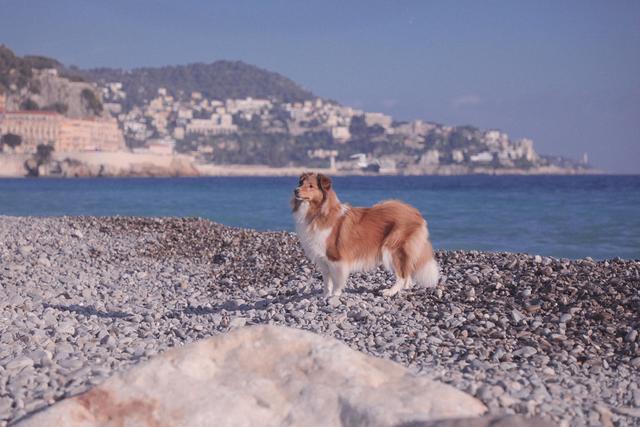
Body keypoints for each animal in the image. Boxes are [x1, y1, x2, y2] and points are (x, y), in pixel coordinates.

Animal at [292, 173, 438, 298]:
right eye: (300, 182)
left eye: (311, 186)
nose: (295, 190)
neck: (318, 212)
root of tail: (416, 213)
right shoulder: (323, 259)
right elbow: (327, 281)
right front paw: (325, 296)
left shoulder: (335, 258)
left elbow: (337, 280)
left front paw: (334, 295)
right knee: (407, 272)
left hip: (392, 248)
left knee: (401, 275)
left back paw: (390, 291)